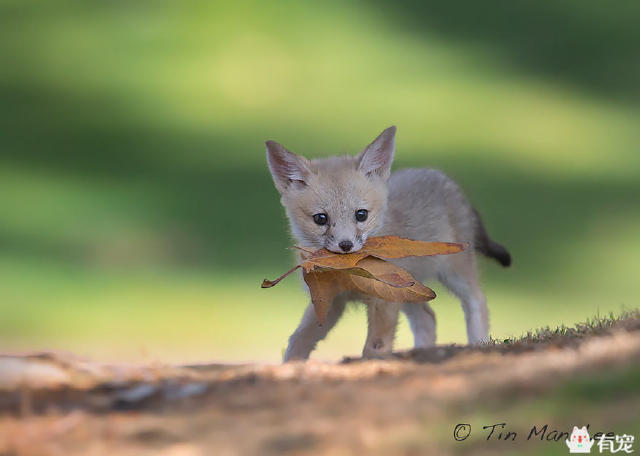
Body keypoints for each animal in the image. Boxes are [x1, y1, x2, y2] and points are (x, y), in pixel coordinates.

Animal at [264, 126, 510, 362]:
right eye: (320, 219)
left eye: (361, 215)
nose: (346, 245)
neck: (348, 274)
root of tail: (443, 178)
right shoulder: (329, 301)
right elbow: (298, 339)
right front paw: (290, 367)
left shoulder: (383, 302)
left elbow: (374, 348)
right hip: (411, 289)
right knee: (428, 319)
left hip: (454, 272)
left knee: (477, 302)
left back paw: (478, 346)